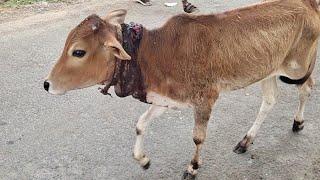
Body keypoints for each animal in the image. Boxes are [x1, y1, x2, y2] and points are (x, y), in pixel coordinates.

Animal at [44, 0, 320, 179]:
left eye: (78, 52)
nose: (46, 84)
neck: (154, 53)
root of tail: (308, 3)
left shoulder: (206, 99)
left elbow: (198, 138)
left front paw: (192, 167)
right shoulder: (166, 99)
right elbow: (141, 124)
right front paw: (143, 160)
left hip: (296, 67)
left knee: (307, 88)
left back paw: (297, 122)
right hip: (268, 71)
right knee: (270, 100)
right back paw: (245, 141)